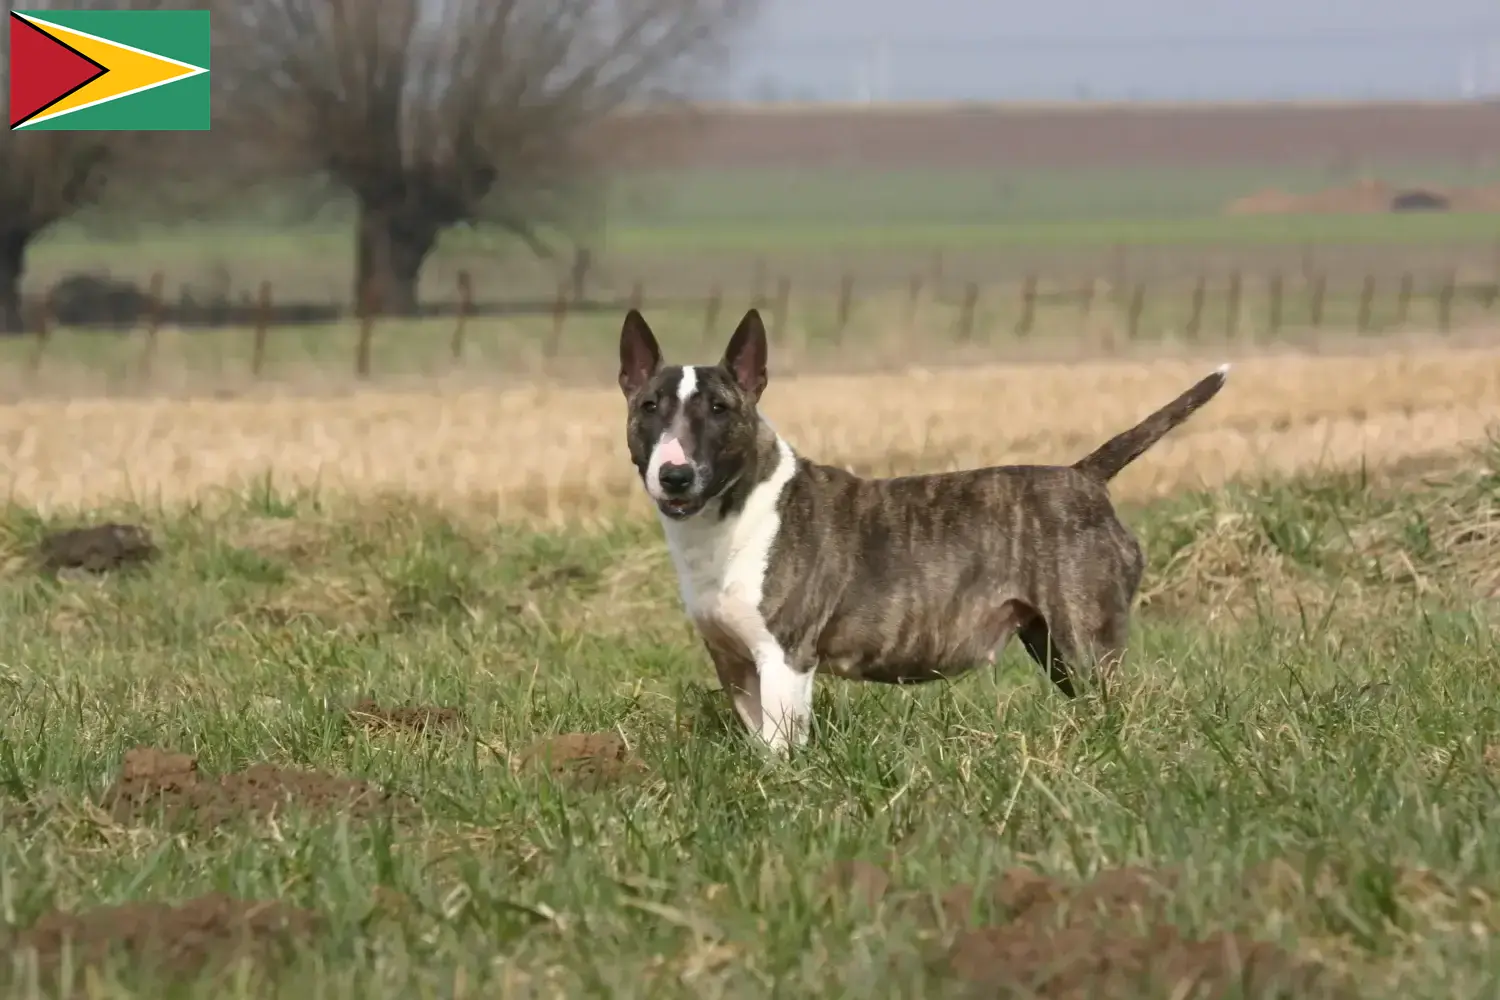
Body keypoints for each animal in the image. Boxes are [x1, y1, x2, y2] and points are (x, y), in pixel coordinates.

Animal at [615, 305, 1224, 749]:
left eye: (719, 408)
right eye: (648, 406)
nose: (674, 475)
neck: (732, 517)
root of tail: (1084, 476)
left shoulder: (784, 657)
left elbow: (782, 746)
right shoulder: (734, 662)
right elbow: (759, 743)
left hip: (1087, 640)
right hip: (1049, 641)